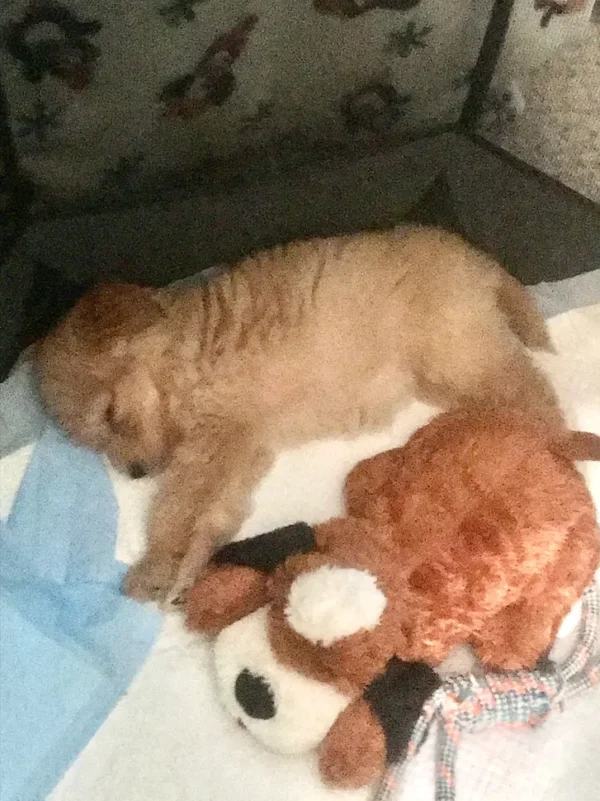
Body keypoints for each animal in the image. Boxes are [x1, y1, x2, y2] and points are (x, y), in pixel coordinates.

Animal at [37, 225, 564, 600]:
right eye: (95, 440)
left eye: (111, 415)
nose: (134, 473)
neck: (180, 356)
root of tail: (476, 259)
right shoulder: (243, 447)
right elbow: (216, 514)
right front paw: (190, 567)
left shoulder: (213, 441)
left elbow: (176, 506)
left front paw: (156, 562)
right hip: (449, 371)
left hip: (458, 353)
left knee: (536, 394)